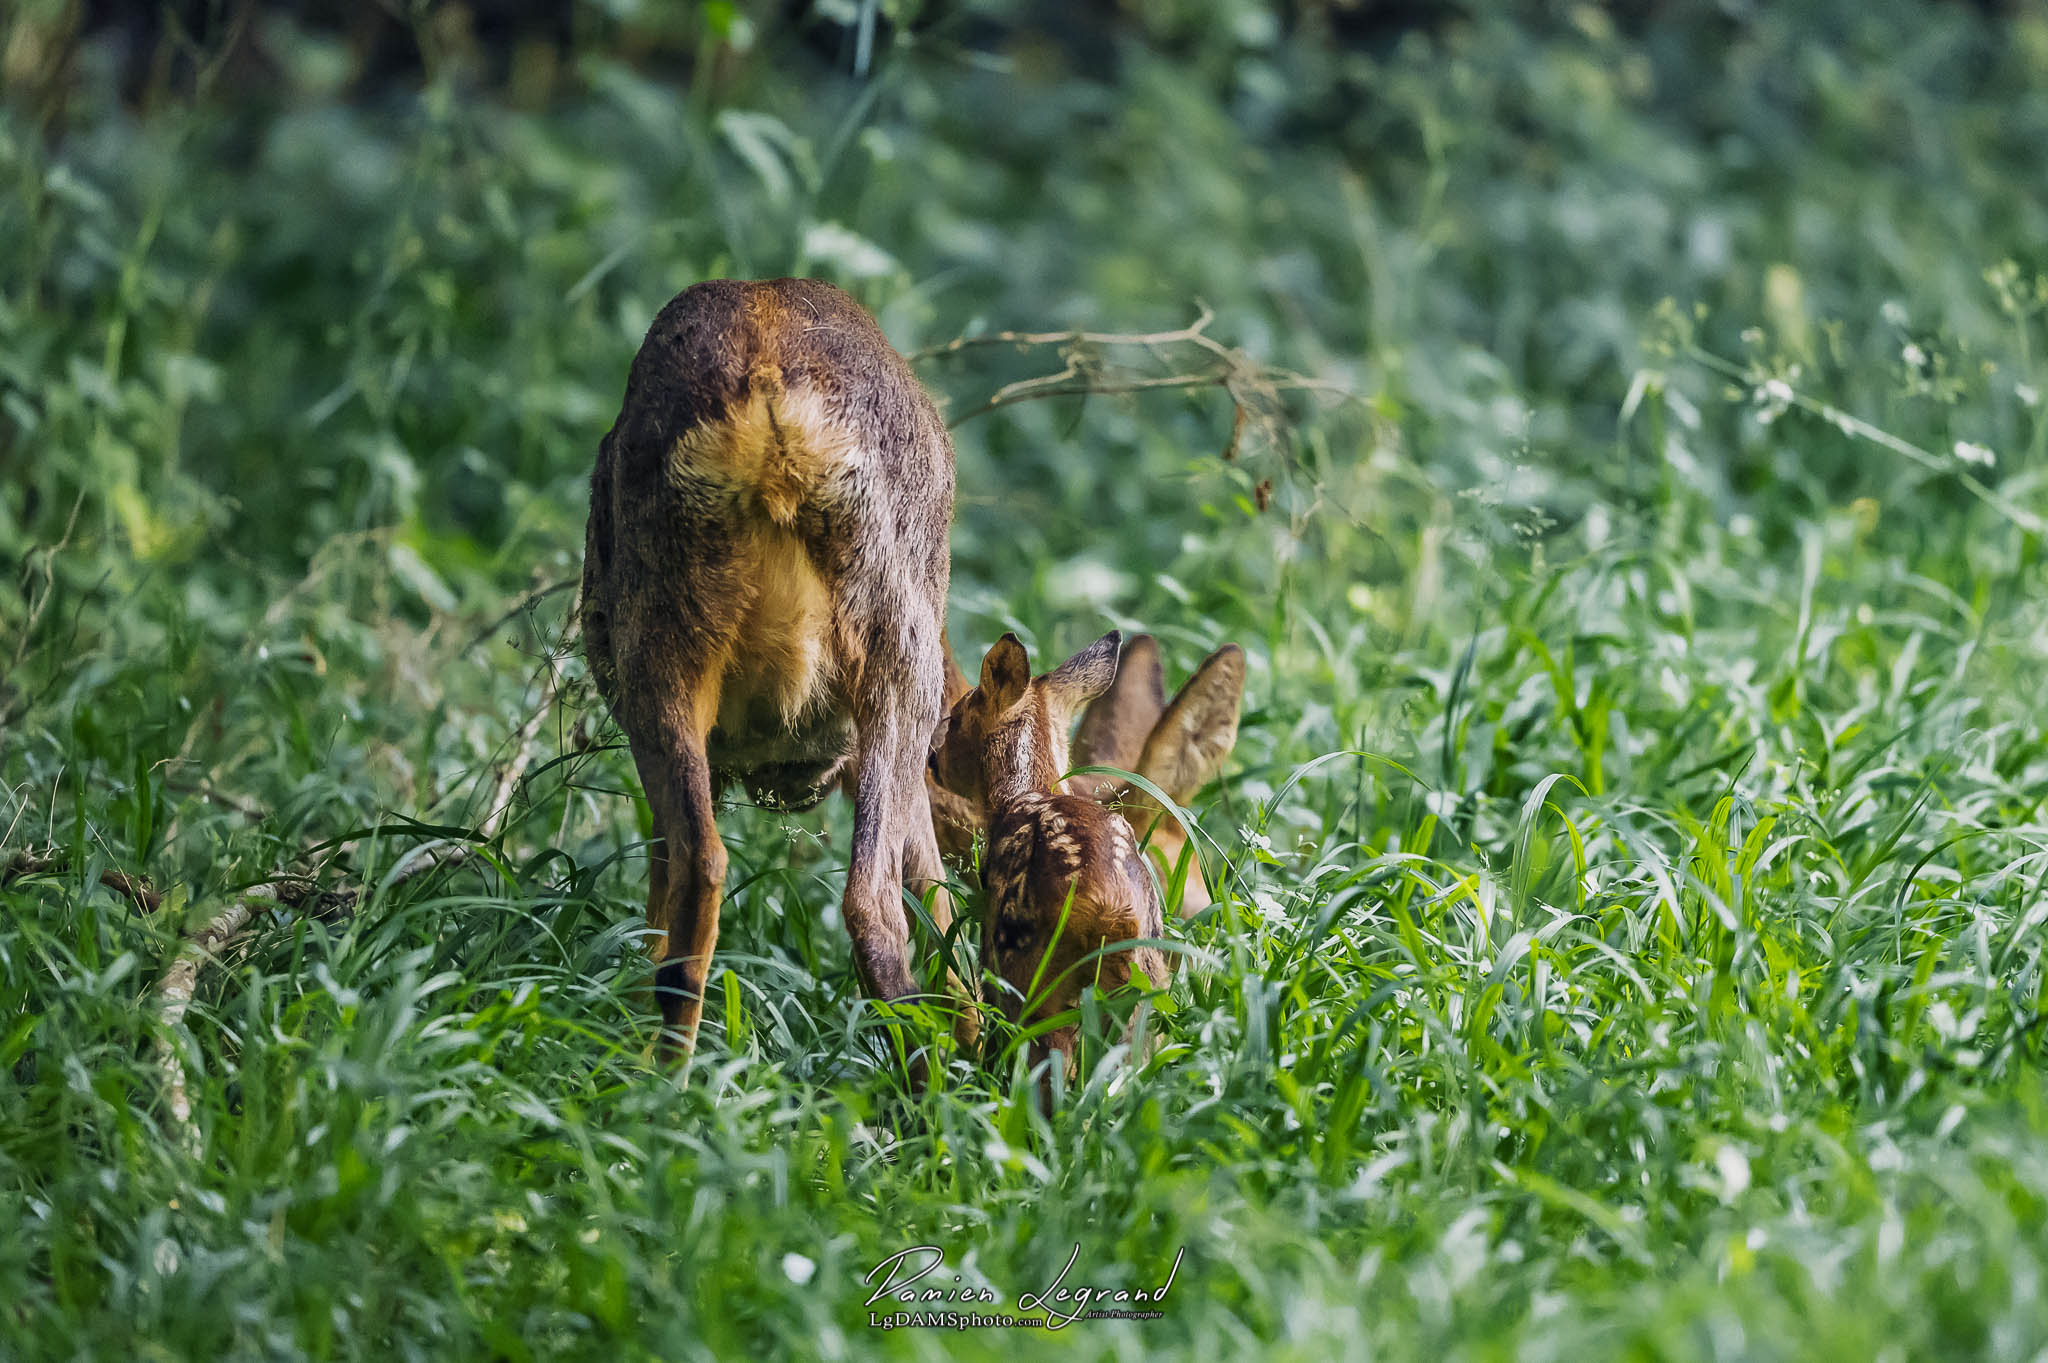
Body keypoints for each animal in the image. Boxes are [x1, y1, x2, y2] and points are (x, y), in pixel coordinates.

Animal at [577, 274, 958, 1064]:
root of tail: (769, 393)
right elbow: (937, 897)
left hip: (660, 651)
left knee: (698, 868)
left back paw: (655, 1073)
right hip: (902, 661)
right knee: (871, 900)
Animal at [929, 630, 1171, 1080]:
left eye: (954, 718)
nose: (932, 759)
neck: (1027, 790)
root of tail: (1111, 910)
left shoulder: (993, 953)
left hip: (1031, 974)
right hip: (1145, 987)